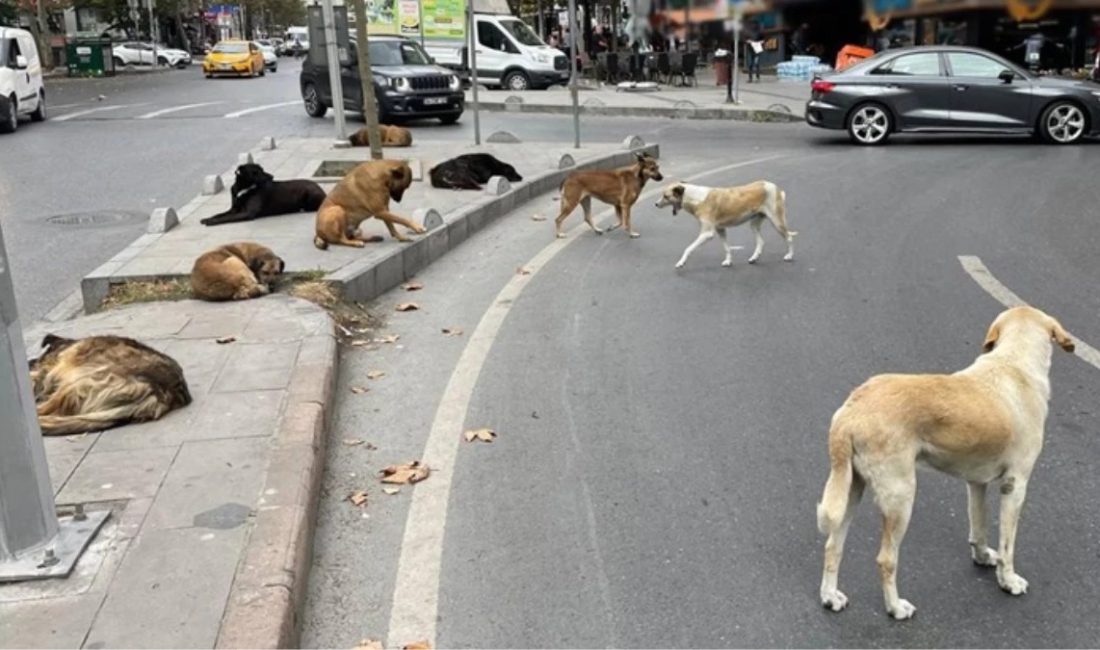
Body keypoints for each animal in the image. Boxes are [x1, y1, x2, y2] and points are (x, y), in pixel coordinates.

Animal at [651, 179, 800, 268]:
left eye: (665, 196)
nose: (656, 204)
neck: (695, 198)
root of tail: (775, 187)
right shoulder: (720, 230)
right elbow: (727, 248)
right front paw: (728, 261)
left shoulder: (707, 234)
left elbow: (688, 248)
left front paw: (681, 262)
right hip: (755, 223)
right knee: (761, 241)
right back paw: (754, 258)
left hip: (777, 221)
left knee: (789, 237)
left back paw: (789, 256)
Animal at [822, 307, 1078, 624]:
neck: (1013, 362)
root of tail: (851, 410)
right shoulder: (1015, 486)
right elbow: (1008, 545)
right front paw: (1008, 581)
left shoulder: (976, 483)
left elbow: (979, 528)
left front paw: (982, 558)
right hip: (900, 498)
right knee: (886, 559)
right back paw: (895, 608)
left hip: (850, 490)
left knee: (833, 546)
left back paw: (830, 597)